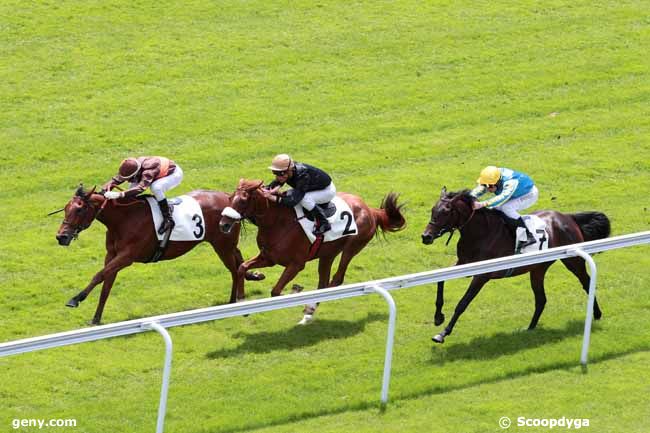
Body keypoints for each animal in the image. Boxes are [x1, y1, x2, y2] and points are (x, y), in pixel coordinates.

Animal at [53, 184, 264, 322]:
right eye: (65, 209)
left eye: (79, 210)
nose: (61, 237)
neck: (123, 219)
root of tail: (229, 199)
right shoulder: (112, 256)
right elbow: (106, 284)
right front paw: (96, 319)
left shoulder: (127, 257)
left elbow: (99, 275)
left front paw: (75, 299)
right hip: (226, 244)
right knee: (238, 262)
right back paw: (251, 278)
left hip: (222, 245)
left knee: (234, 270)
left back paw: (233, 302)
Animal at [215, 177, 402, 322]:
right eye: (230, 198)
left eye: (243, 200)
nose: (223, 224)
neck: (277, 222)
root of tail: (371, 209)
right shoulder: (268, 258)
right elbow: (242, 267)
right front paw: (241, 301)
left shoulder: (296, 264)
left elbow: (275, 292)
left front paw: (295, 291)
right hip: (328, 254)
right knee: (324, 283)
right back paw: (310, 309)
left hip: (352, 246)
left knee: (337, 278)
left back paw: (310, 307)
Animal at [420, 187, 608, 342]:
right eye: (432, 210)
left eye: (445, 212)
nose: (426, 236)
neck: (480, 233)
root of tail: (568, 217)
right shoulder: (463, 265)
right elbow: (440, 280)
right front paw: (438, 317)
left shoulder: (482, 275)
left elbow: (462, 303)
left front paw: (443, 333)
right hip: (538, 269)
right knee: (541, 299)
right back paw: (529, 328)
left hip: (573, 261)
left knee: (586, 282)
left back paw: (597, 314)